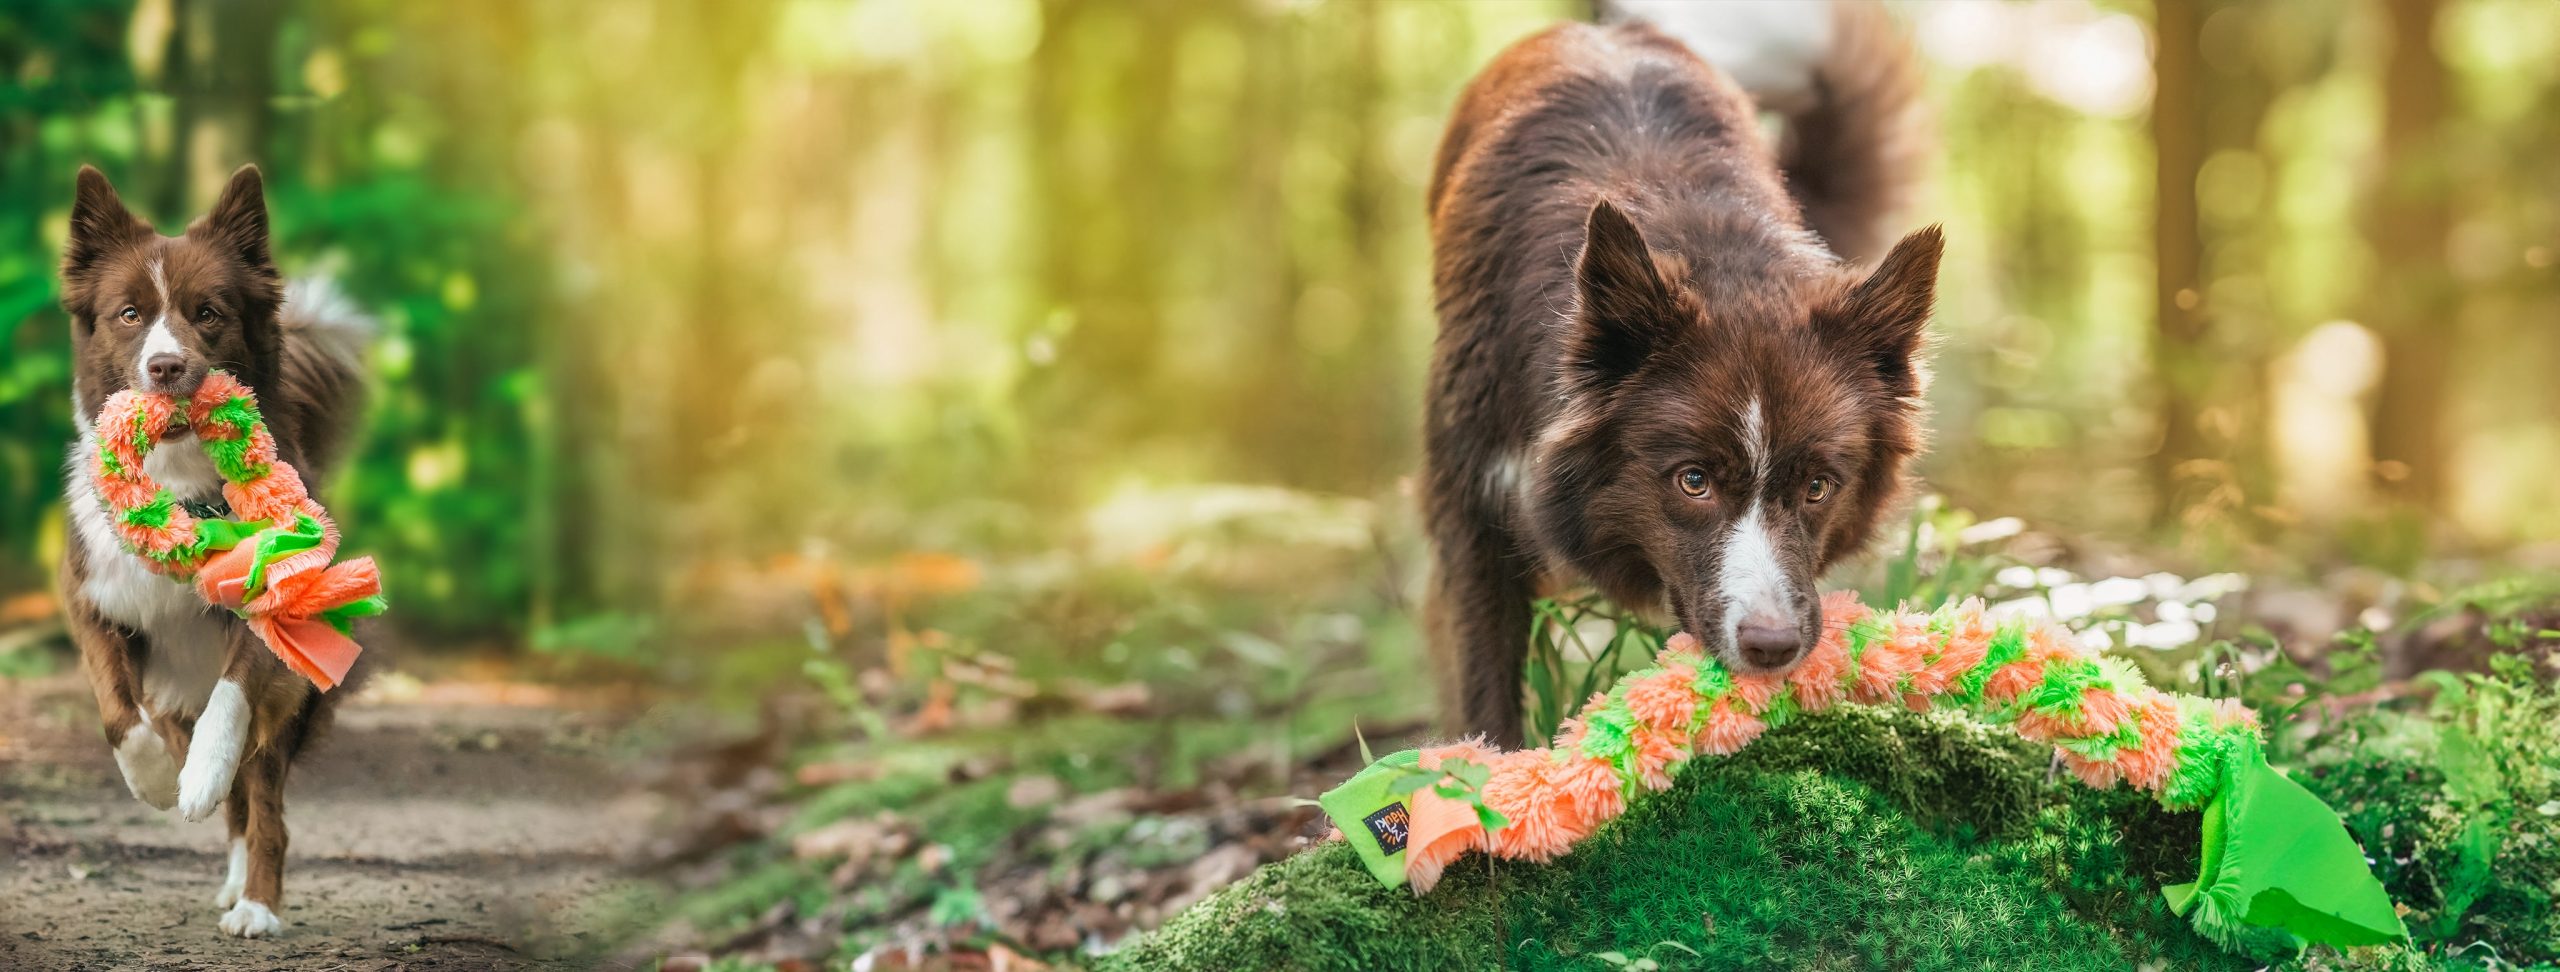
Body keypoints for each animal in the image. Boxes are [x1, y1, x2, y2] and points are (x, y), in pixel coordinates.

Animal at [59, 163, 371, 936]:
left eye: (208, 313)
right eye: (128, 314)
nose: (168, 367)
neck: (180, 485)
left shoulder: (273, 614)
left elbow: (232, 700)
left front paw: (199, 777)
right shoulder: (91, 595)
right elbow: (117, 710)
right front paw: (157, 781)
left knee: (263, 810)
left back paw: (254, 904)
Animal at [1423, 5, 1935, 741]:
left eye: (1818, 487)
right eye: (1693, 481)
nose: (1773, 647)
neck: (1695, 236)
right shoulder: (1473, 507)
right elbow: (1484, 693)